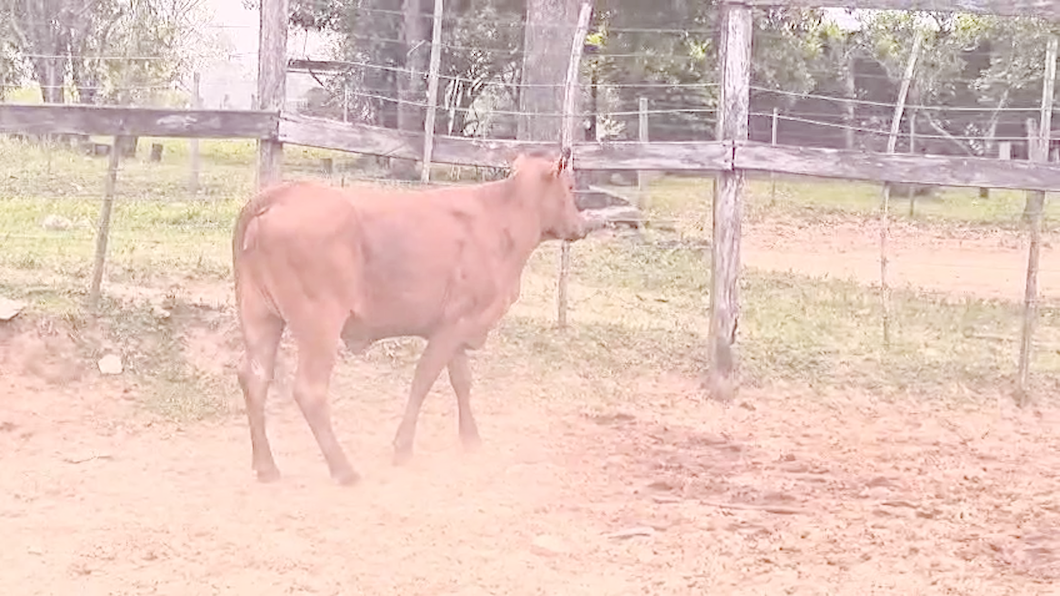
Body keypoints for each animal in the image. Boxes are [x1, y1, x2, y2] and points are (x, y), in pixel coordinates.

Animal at [232, 148, 593, 483]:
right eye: (571, 185)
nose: (581, 227)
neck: (501, 218)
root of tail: (283, 193)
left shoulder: (457, 326)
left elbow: (462, 381)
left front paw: (471, 439)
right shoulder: (454, 323)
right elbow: (424, 379)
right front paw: (403, 447)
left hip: (260, 315)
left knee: (255, 377)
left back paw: (266, 467)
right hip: (319, 322)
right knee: (310, 390)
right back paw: (344, 469)